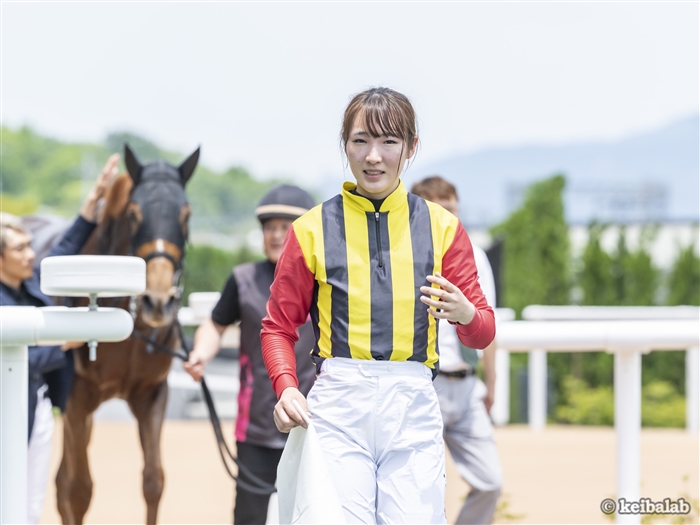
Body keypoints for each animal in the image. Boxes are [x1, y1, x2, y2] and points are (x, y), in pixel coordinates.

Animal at [56, 144, 200, 524]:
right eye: (135, 213)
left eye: (186, 215)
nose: (158, 300)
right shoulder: (77, 398)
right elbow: (79, 490)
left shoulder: (151, 395)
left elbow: (153, 481)